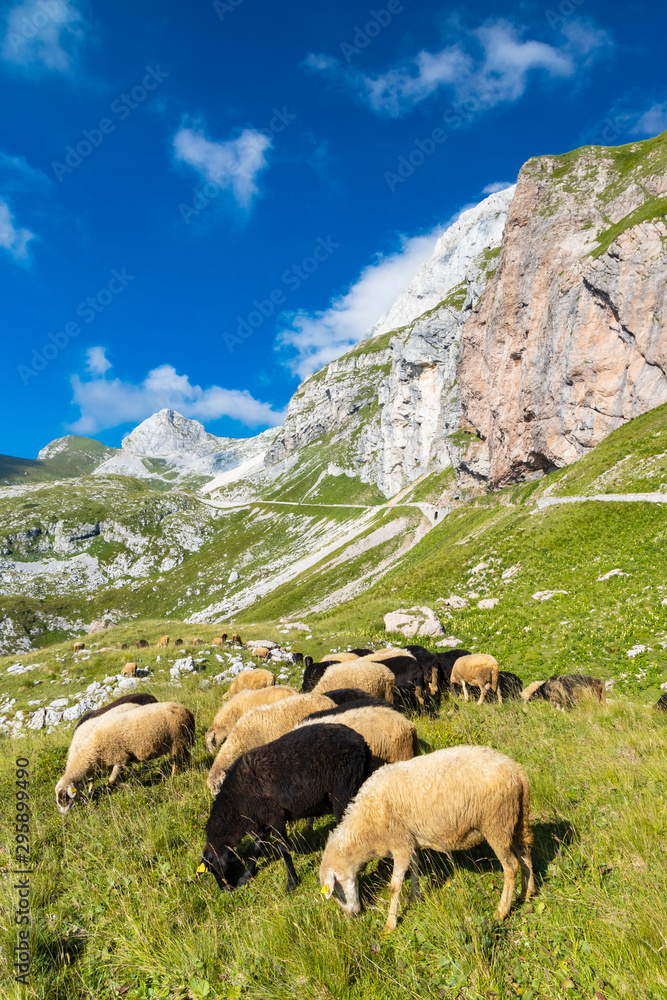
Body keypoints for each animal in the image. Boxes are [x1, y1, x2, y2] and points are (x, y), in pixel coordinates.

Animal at [55, 702, 195, 813]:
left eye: (64, 798)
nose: (63, 813)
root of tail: (186, 710)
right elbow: (94, 780)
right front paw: (90, 793)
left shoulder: (120, 758)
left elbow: (111, 780)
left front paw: (131, 785)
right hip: (178, 740)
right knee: (186, 756)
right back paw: (188, 770)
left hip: (176, 739)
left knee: (175, 761)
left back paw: (171, 776)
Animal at [198, 724, 372, 893]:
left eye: (216, 868)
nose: (226, 890)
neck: (235, 804)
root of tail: (361, 742)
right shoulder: (262, 822)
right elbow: (256, 848)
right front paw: (245, 877)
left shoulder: (275, 816)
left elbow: (283, 849)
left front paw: (291, 882)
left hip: (342, 792)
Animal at [319, 745, 535, 932]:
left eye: (336, 891)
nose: (353, 915)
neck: (366, 829)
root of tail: (517, 771)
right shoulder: (411, 842)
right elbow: (415, 868)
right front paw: (415, 898)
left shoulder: (400, 845)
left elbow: (394, 886)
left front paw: (390, 925)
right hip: (515, 819)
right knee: (525, 853)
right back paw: (528, 893)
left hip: (497, 824)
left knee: (511, 866)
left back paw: (502, 911)